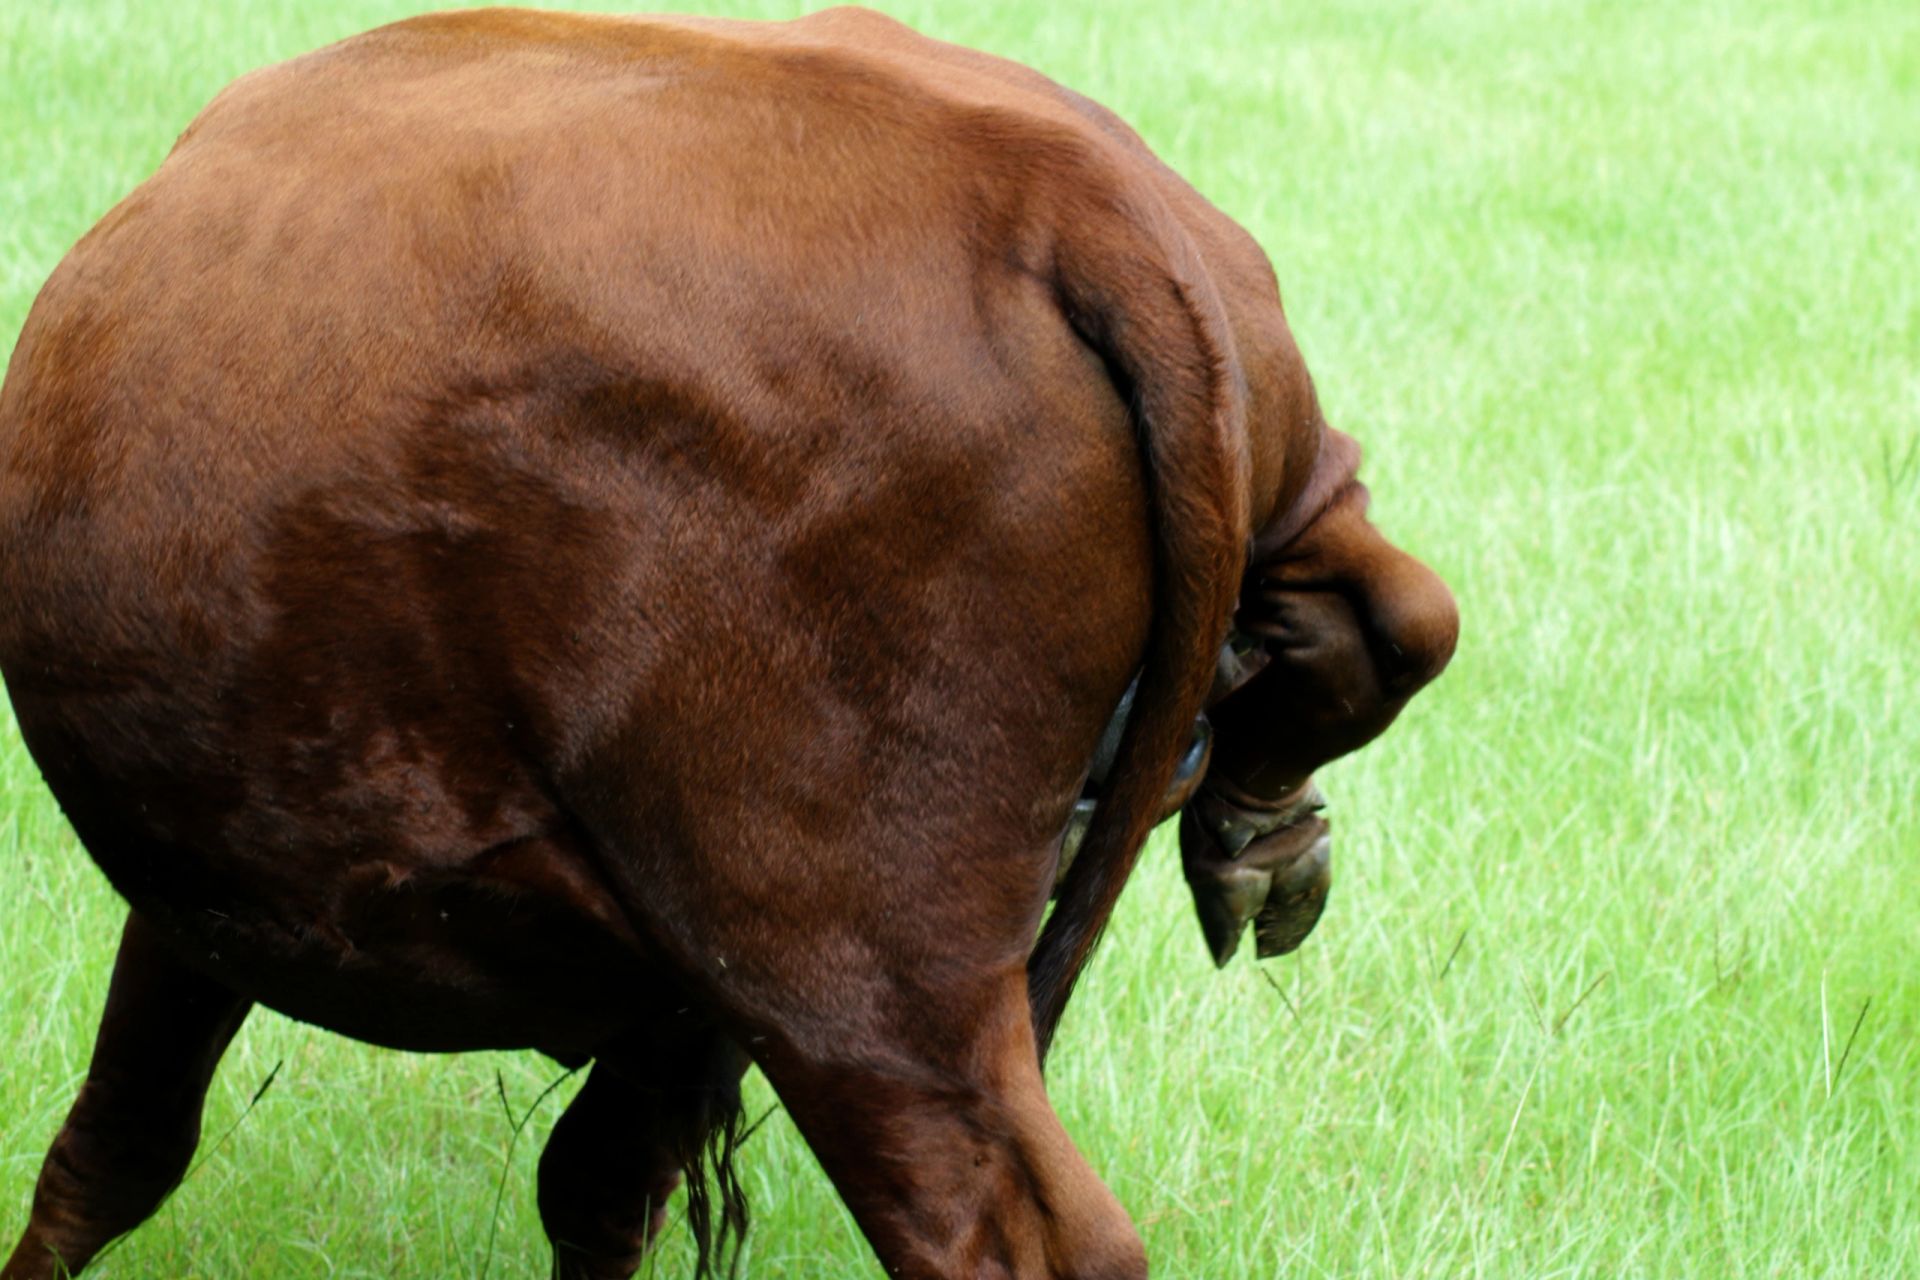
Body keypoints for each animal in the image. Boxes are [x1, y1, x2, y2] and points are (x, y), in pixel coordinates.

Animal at [0, 9, 1456, 1279]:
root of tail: (1062, 194)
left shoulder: (203, 884)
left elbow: (116, 1143)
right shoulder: (672, 993)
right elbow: (597, 1187)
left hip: (859, 974)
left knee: (1015, 1236)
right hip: (1279, 483)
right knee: (1395, 612)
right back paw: (1266, 830)